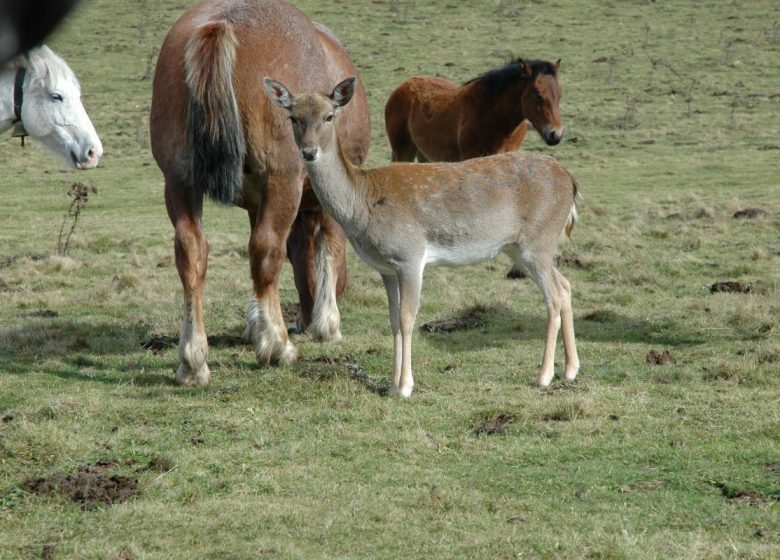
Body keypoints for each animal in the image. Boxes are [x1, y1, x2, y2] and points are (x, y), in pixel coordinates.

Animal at [154, 0, 374, 384]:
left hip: (179, 182)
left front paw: (255, 323)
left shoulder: (256, 202)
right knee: (266, 248)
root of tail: (222, 24)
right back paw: (277, 345)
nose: (304, 319)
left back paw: (193, 358)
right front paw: (326, 323)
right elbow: (328, 246)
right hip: (281, 180)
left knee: (192, 253)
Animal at [262, 75, 580, 398]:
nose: (309, 152)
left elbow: (407, 317)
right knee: (565, 285)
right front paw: (392, 384)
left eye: (329, 116)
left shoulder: (410, 255)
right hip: (521, 247)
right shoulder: (385, 267)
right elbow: (392, 320)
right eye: (293, 117)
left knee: (554, 295)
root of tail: (571, 181)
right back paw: (570, 370)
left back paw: (544, 375)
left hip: (538, 240)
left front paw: (405, 386)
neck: (361, 204)